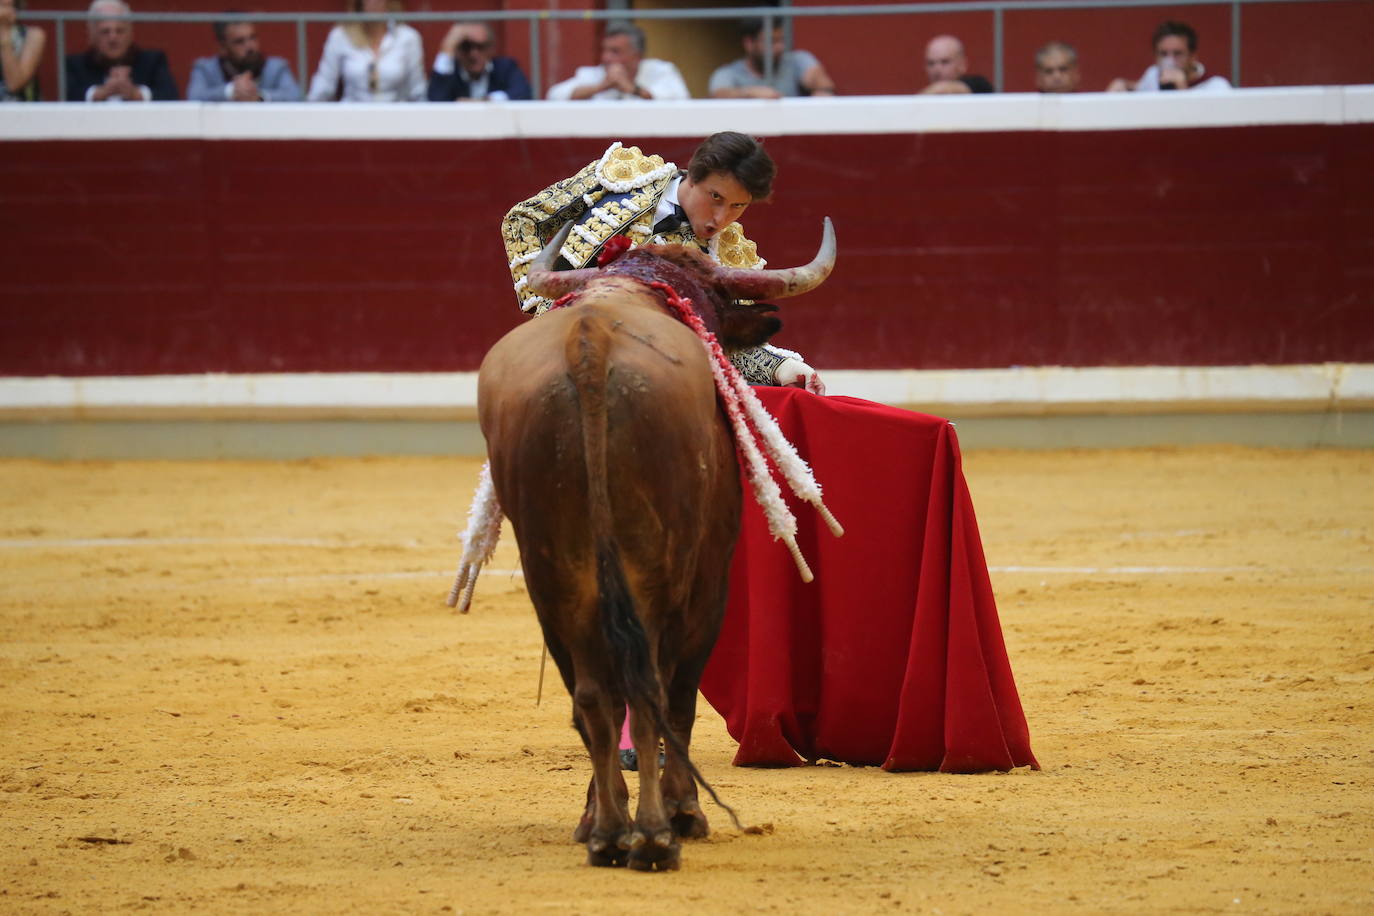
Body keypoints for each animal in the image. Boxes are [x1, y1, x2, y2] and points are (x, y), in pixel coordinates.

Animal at [472, 218, 835, 873]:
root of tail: (589, 350)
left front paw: (597, 815)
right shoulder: (709, 579)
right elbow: (680, 699)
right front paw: (683, 811)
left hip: (552, 576)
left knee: (594, 695)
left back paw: (607, 830)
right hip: (662, 572)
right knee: (653, 693)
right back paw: (654, 835)